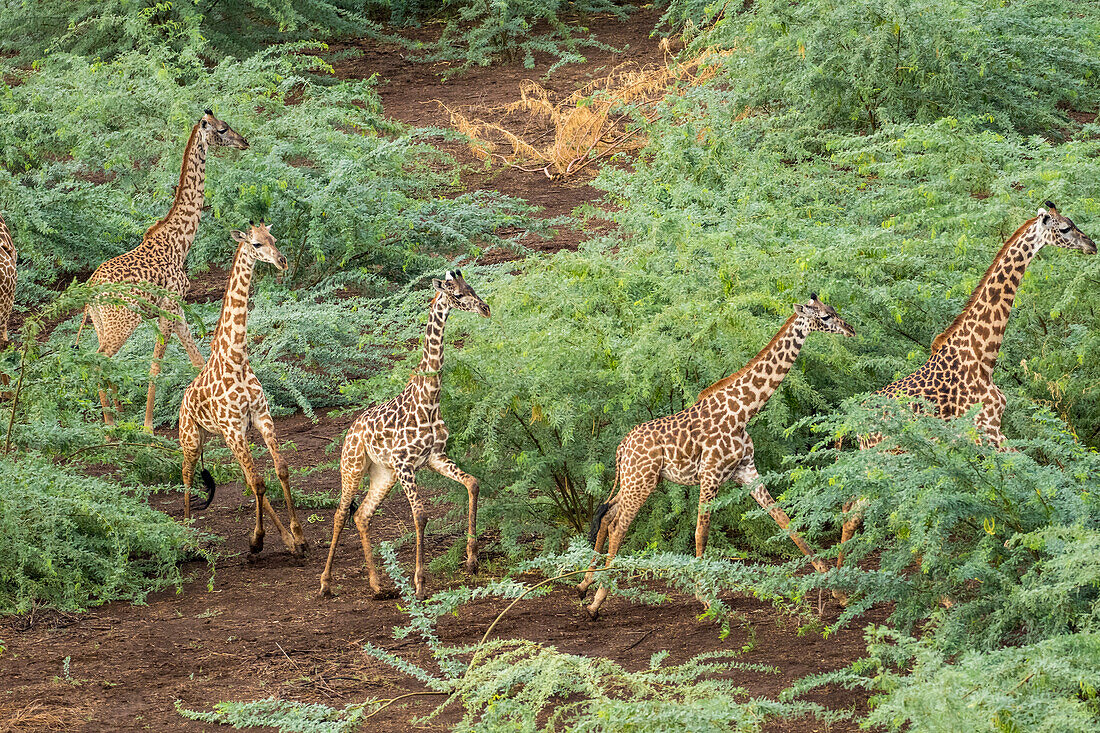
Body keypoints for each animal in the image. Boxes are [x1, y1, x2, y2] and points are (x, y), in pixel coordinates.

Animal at [77, 108, 249, 429]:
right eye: (222, 129)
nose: (244, 142)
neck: (179, 242)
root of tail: (90, 291)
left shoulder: (178, 308)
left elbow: (198, 360)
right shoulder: (168, 307)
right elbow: (156, 365)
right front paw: (147, 426)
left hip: (101, 324)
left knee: (103, 361)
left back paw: (118, 418)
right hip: (122, 323)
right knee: (98, 361)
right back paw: (110, 428)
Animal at [177, 221, 308, 554]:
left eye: (273, 238)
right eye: (256, 244)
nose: (282, 261)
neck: (236, 359)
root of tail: (183, 400)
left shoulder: (260, 418)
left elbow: (280, 470)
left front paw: (298, 537)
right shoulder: (235, 427)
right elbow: (259, 481)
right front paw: (257, 540)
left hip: (222, 437)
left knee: (247, 477)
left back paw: (285, 539)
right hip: (192, 437)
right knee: (186, 474)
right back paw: (186, 532)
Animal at [319, 268, 490, 598]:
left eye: (472, 287)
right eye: (458, 294)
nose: (486, 308)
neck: (430, 400)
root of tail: (350, 431)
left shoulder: (434, 458)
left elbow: (473, 483)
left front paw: (472, 560)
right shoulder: (405, 464)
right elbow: (420, 516)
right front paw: (420, 583)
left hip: (382, 474)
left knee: (361, 516)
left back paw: (376, 585)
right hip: (353, 467)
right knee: (339, 514)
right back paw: (325, 583)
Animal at [580, 294, 853, 611]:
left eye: (833, 310)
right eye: (824, 317)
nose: (850, 330)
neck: (744, 411)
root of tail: (622, 447)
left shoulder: (746, 471)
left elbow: (785, 520)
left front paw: (838, 590)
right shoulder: (710, 474)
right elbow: (702, 531)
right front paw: (705, 596)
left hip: (635, 480)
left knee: (607, 516)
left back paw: (584, 585)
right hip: (642, 481)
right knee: (617, 526)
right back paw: (598, 598)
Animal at [836, 202, 1095, 567]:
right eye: (1066, 228)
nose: (1092, 245)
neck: (983, 354)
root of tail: (854, 424)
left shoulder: (985, 433)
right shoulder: (988, 430)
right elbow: (1032, 475)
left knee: (858, 507)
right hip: (886, 456)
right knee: (860, 511)